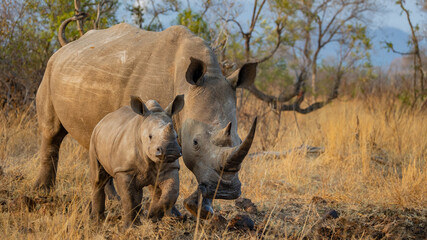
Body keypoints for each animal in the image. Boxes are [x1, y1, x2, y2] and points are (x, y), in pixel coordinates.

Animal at [89, 94, 183, 226]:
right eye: (150, 136)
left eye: (177, 136)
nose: (170, 151)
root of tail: (103, 119)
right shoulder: (124, 170)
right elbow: (129, 199)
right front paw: (129, 227)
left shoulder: (171, 167)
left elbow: (171, 193)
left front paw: (151, 215)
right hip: (94, 138)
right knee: (98, 179)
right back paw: (97, 221)